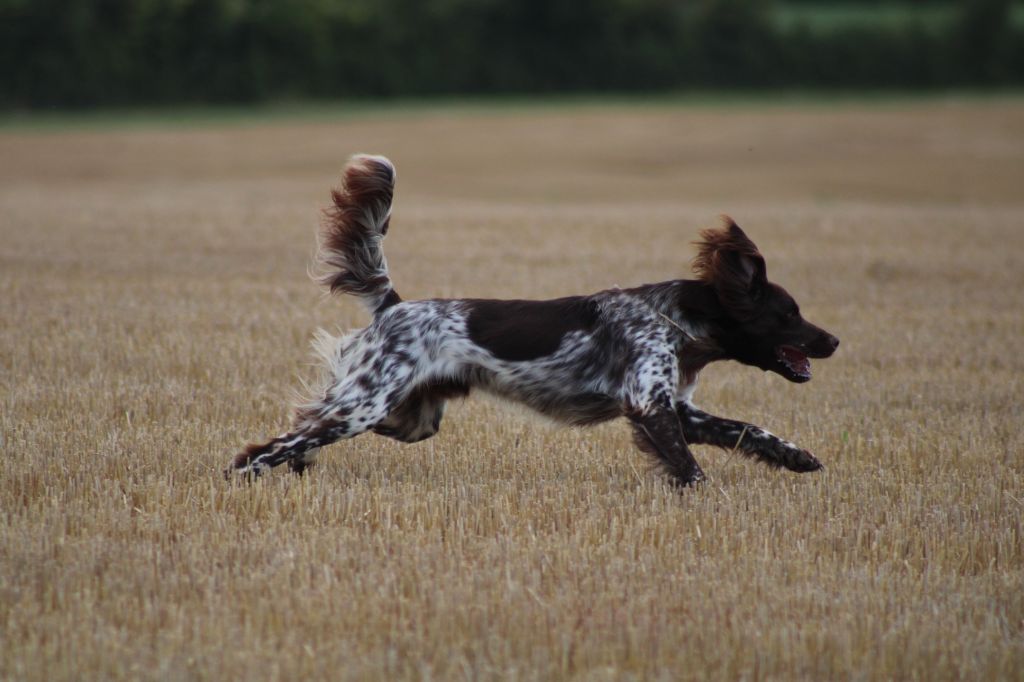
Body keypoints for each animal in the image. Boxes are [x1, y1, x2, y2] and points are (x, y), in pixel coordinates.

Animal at [232, 153, 839, 483]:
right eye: (790, 312)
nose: (833, 341)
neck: (672, 320)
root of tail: (395, 304)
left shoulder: (679, 409)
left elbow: (748, 430)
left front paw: (798, 456)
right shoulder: (649, 403)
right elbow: (691, 468)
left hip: (411, 417)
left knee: (307, 422)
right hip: (368, 403)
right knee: (275, 442)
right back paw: (244, 474)